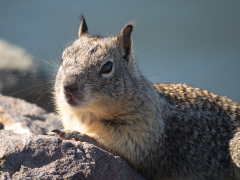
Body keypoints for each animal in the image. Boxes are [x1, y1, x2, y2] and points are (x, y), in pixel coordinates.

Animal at [52, 16, 240, 179]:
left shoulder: (142, 139)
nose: (68, 87)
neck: (85, 116)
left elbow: (111, 145)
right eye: (62, 58)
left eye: (107, 67)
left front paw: (74, 134)